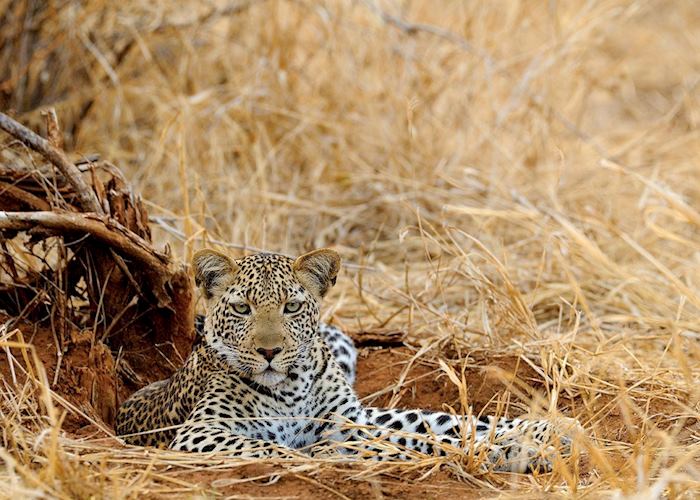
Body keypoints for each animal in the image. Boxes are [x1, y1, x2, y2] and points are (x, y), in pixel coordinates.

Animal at [115, 248, 581, 473]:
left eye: (291, 307)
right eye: (242, 309)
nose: (270, 352)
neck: (291, 387)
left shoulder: (346, 419)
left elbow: (422, 430)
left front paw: (525, 441)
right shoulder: (201, 433)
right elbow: (282, 450)